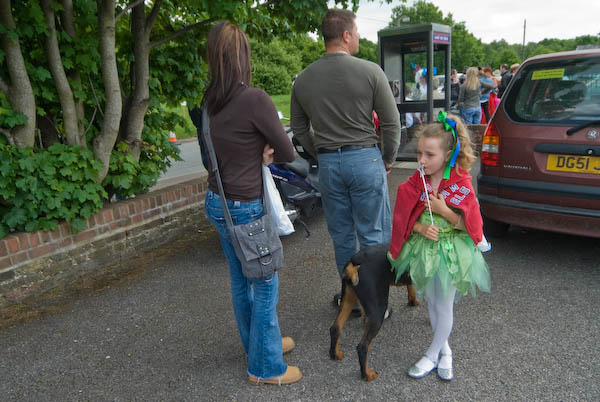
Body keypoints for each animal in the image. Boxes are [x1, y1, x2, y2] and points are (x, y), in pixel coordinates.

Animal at [328, 243, 418, 382]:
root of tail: (355, 261)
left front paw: (413, 300)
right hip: (378, 310)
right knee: (362, 347)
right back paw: (367, 374)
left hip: (348, 298)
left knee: (335, 328)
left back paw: (335, 354)